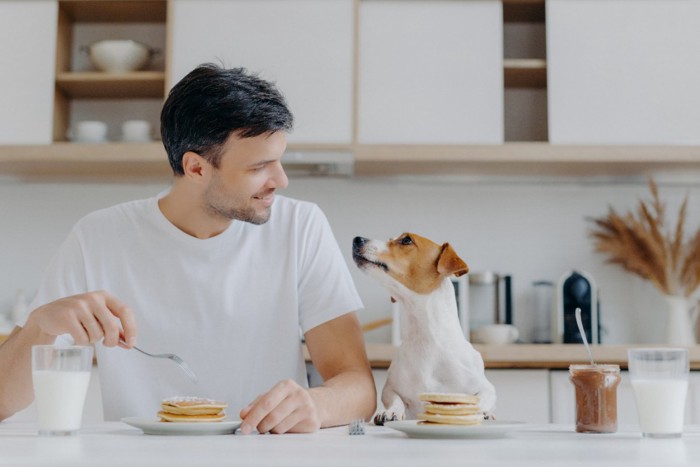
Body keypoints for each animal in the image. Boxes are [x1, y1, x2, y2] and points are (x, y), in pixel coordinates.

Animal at [352, 234, 494, 424]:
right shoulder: (390, 389)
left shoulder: (485, 386)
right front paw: (392, 411)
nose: (357, 239)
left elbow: (482, 398)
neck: (425, 337)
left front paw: (484, 413)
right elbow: (395, 399)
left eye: (406, 240)